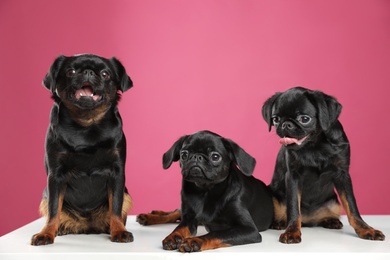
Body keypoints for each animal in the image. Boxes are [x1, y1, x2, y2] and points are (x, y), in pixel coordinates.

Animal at [31, 53, 134, 245]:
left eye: (105, 74)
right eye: (70, 71)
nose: (88, 72)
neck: (86, 124)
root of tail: (87, 227)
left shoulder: (117, 174)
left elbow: (116, 207)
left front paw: (119, 231)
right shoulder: (55, 176)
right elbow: (54, 209)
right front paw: (47, 233)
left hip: (127, 194)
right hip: (44, 195)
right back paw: (61, 229)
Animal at [137, 131, 274, 253]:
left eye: (215, 156)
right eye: (184, 154)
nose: (197, 156)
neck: (205, 191)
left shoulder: (249, 229)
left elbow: (217, 234)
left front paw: (194, 241)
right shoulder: (189, 219)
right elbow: (180, 227)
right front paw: (173, 237)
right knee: (176, 212)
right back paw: (149, 216)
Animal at [260, 87, 386, 244]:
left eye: (304, 119)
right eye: (276, 119)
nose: (286, 124)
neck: (315, 145)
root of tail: (308, 220)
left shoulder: (343, 175)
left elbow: (352, 206)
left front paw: (366, 229)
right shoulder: (293, 176)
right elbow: (293, 207)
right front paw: (292, 231)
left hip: (334, 203)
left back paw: (331, 221)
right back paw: (279, 223)